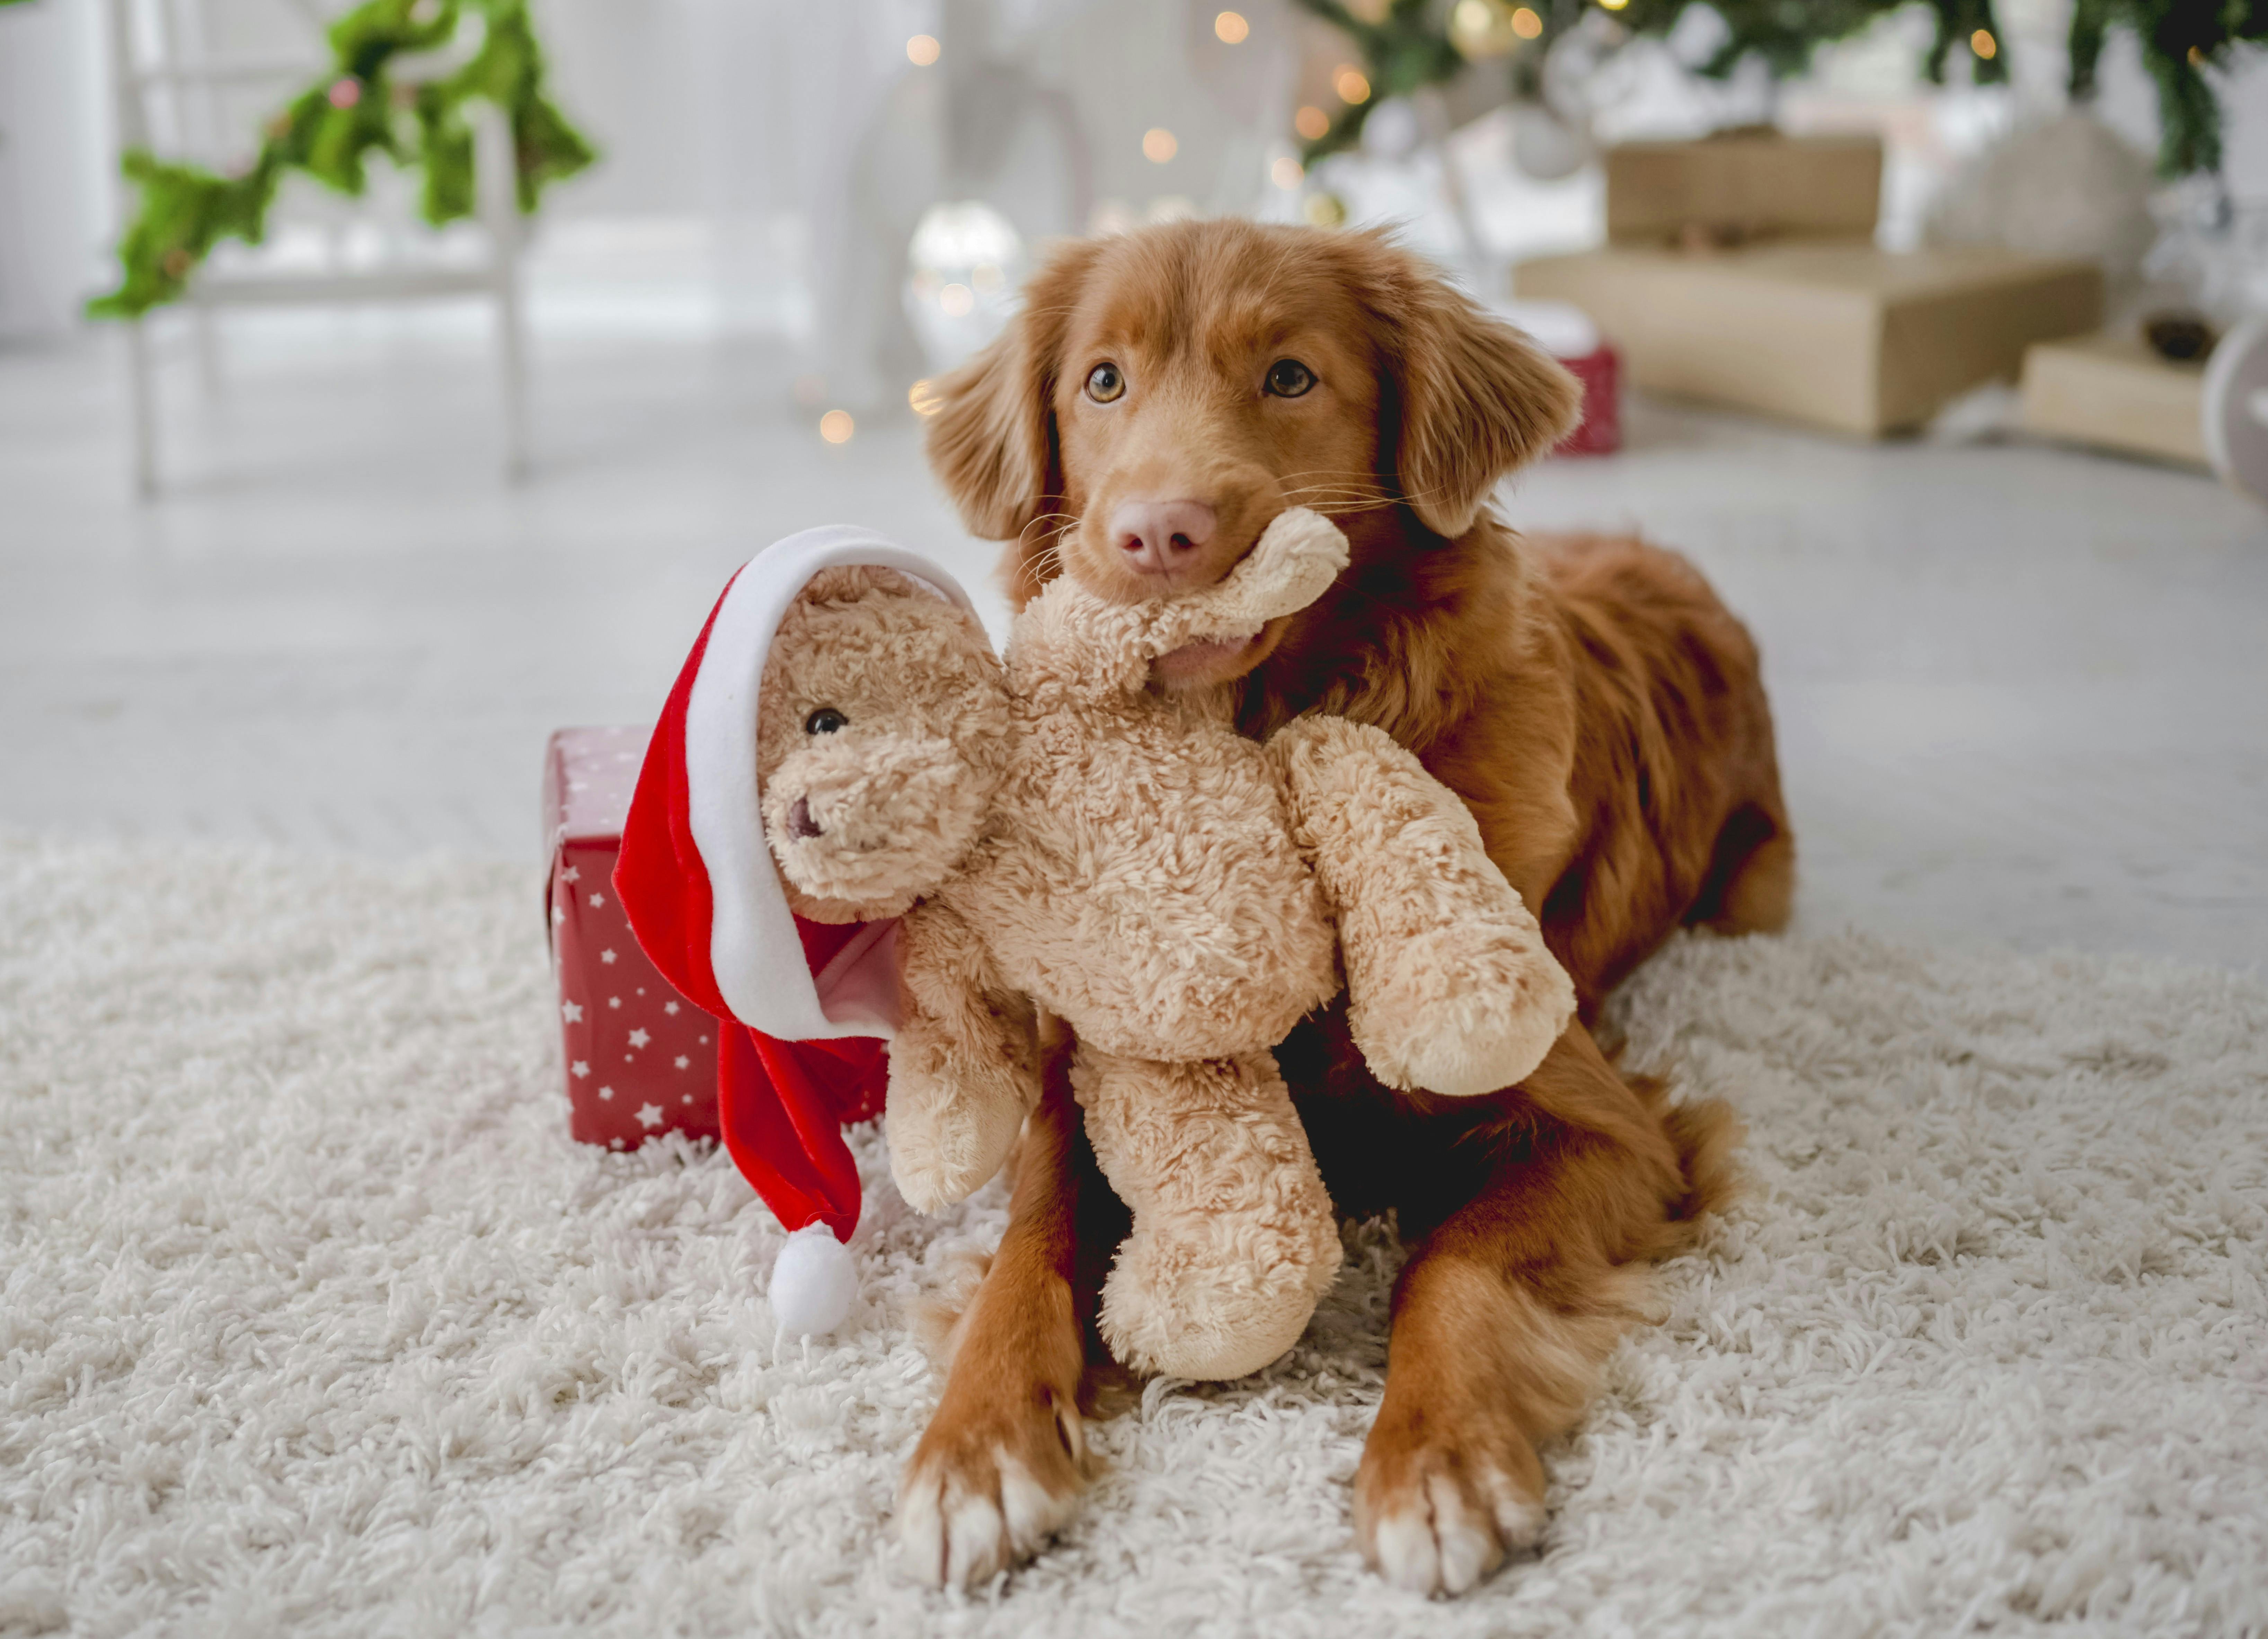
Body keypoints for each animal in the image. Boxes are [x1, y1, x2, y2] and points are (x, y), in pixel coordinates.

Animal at [893, 224, 1778, 1596]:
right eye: (1103, 382)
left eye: (1291, 377)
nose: (1158, 535)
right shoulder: (1078, 1070)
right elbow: (1031, 1236)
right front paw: (975, 1447)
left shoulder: (1604, 1127)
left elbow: (1457, 1262)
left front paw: (1436, 1460)